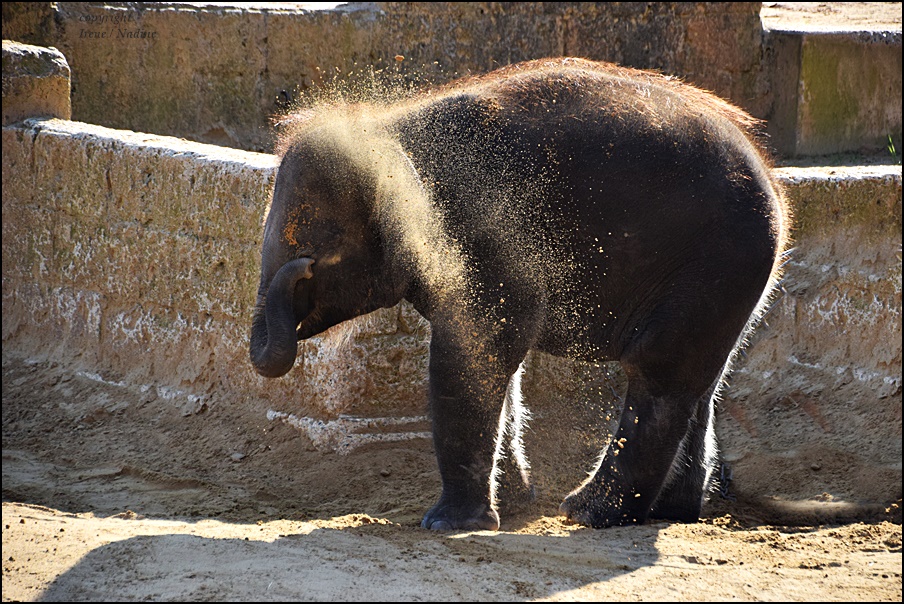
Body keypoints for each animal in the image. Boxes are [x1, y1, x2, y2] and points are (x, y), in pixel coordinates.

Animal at [249, 56, 792, 528]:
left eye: (314, 252)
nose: (299, 269)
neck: (387, 130)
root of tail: (773, 182)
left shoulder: (485, 236)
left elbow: (475, 351)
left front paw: (447, 525)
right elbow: (494, 363)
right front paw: (510, 508)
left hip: (713, 264)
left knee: (658, 375)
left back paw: (588, 513)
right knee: (697, 384)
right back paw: (668, 512)